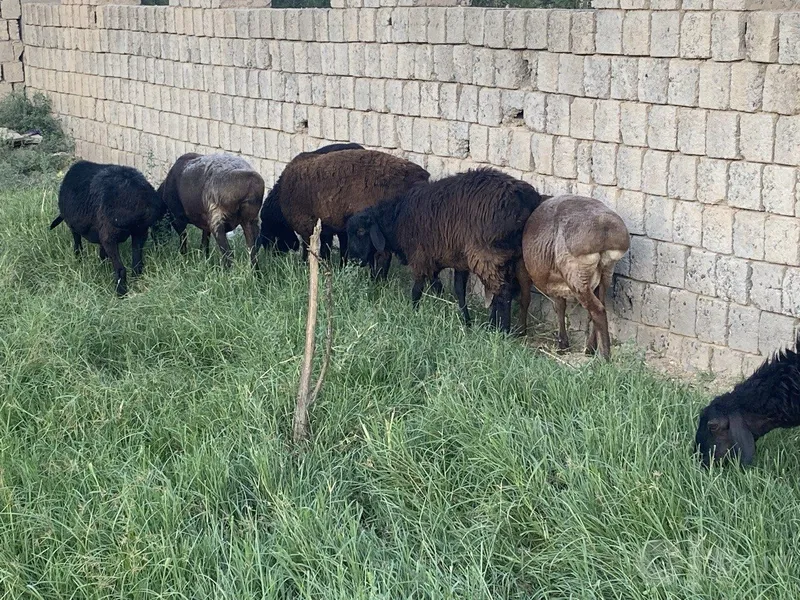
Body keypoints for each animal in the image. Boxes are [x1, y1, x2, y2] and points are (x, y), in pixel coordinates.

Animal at [49, 160, 166, 296]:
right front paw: (102, 264)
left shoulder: (75, 227)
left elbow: (77, 243)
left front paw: (79, 258)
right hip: (140, 232)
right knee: (136, 264)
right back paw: (136, 283)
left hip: (110, 235)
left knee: (121, 269)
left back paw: (121, 294)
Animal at [261, 147, 430, 278]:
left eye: (270, 230)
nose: (273, 256)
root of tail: (419, 176)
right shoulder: (331, 228)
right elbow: (333, 250)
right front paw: (335, 269)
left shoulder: (306, 226)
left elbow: (309, 250)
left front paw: (306, 267)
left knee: (382, 255)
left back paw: (376, 283)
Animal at [346, 167, 543, 332]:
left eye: (361, 231)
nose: (354, 261)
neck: (397, 220)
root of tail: (524, 199)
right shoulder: (452, 262)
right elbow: (452, 290)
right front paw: (464, 321)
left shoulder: (420, 258)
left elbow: (417, 290)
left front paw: (413, 312)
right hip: (516, 259)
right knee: (513, 293)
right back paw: (499, 326)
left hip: (486, 255)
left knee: (503, 291)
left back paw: (501, 331)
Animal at [516, 195, 630, 360]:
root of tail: (605, 230)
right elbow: (560, 306)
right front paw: (562, 343)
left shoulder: (524, 270)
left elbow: (526, 300)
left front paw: (520, 331)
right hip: (605, 273)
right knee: (599, 306)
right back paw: (591, 348)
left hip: (576, 276)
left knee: (597, 310)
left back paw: (604, 356)